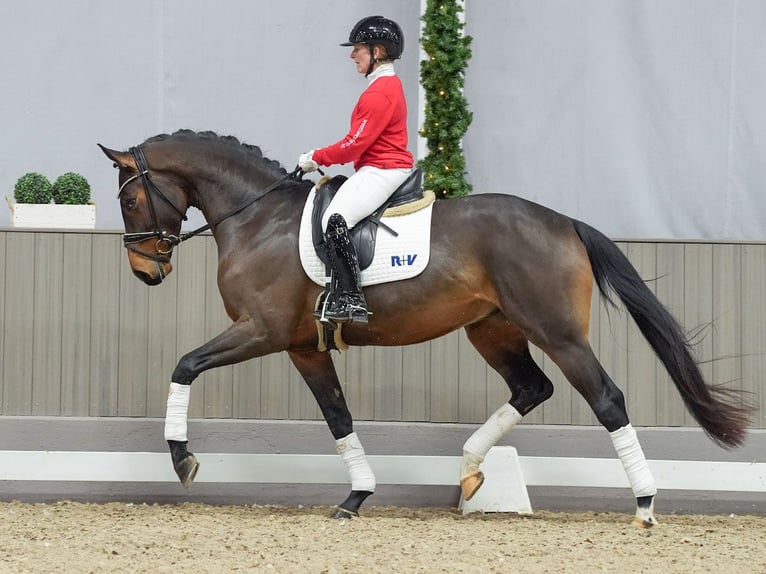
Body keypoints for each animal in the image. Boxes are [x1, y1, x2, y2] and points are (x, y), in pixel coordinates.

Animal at [99, 132, 752, 532]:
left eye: (129, 200)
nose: (144, 271)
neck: (258, 219)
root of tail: (564, 220)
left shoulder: (261, 330)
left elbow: (184, 365)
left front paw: (183, 460)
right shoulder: (302, 346)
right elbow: (338, 417)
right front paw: (356, 497)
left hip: (558, 332)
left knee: (607, 398)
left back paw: (644, 504)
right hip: (492, 330)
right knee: (531, 388)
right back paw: (469, 469)